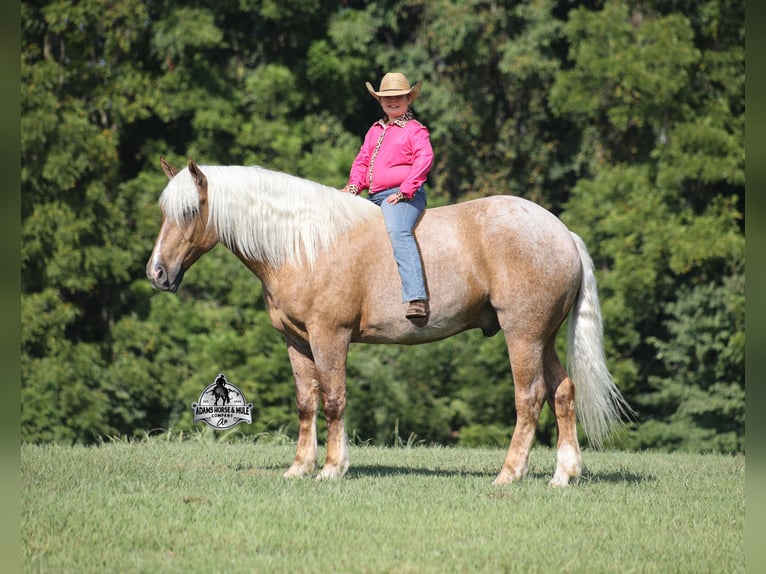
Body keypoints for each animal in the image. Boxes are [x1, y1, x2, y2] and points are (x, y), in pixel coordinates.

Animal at [146, 158, 631, 486]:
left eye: (189, 212)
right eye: (163, 212)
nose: (157, 273)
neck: (305, 244)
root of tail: (562, 233)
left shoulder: (330, 337)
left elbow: (334, 401)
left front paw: (331, 469)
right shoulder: (296, 342)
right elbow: (306, 403)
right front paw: (299, 467)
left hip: (523, 336)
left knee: (529, 397)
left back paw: (509, 474)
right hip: (543, 338)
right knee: (563, 392)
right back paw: (563, 475)